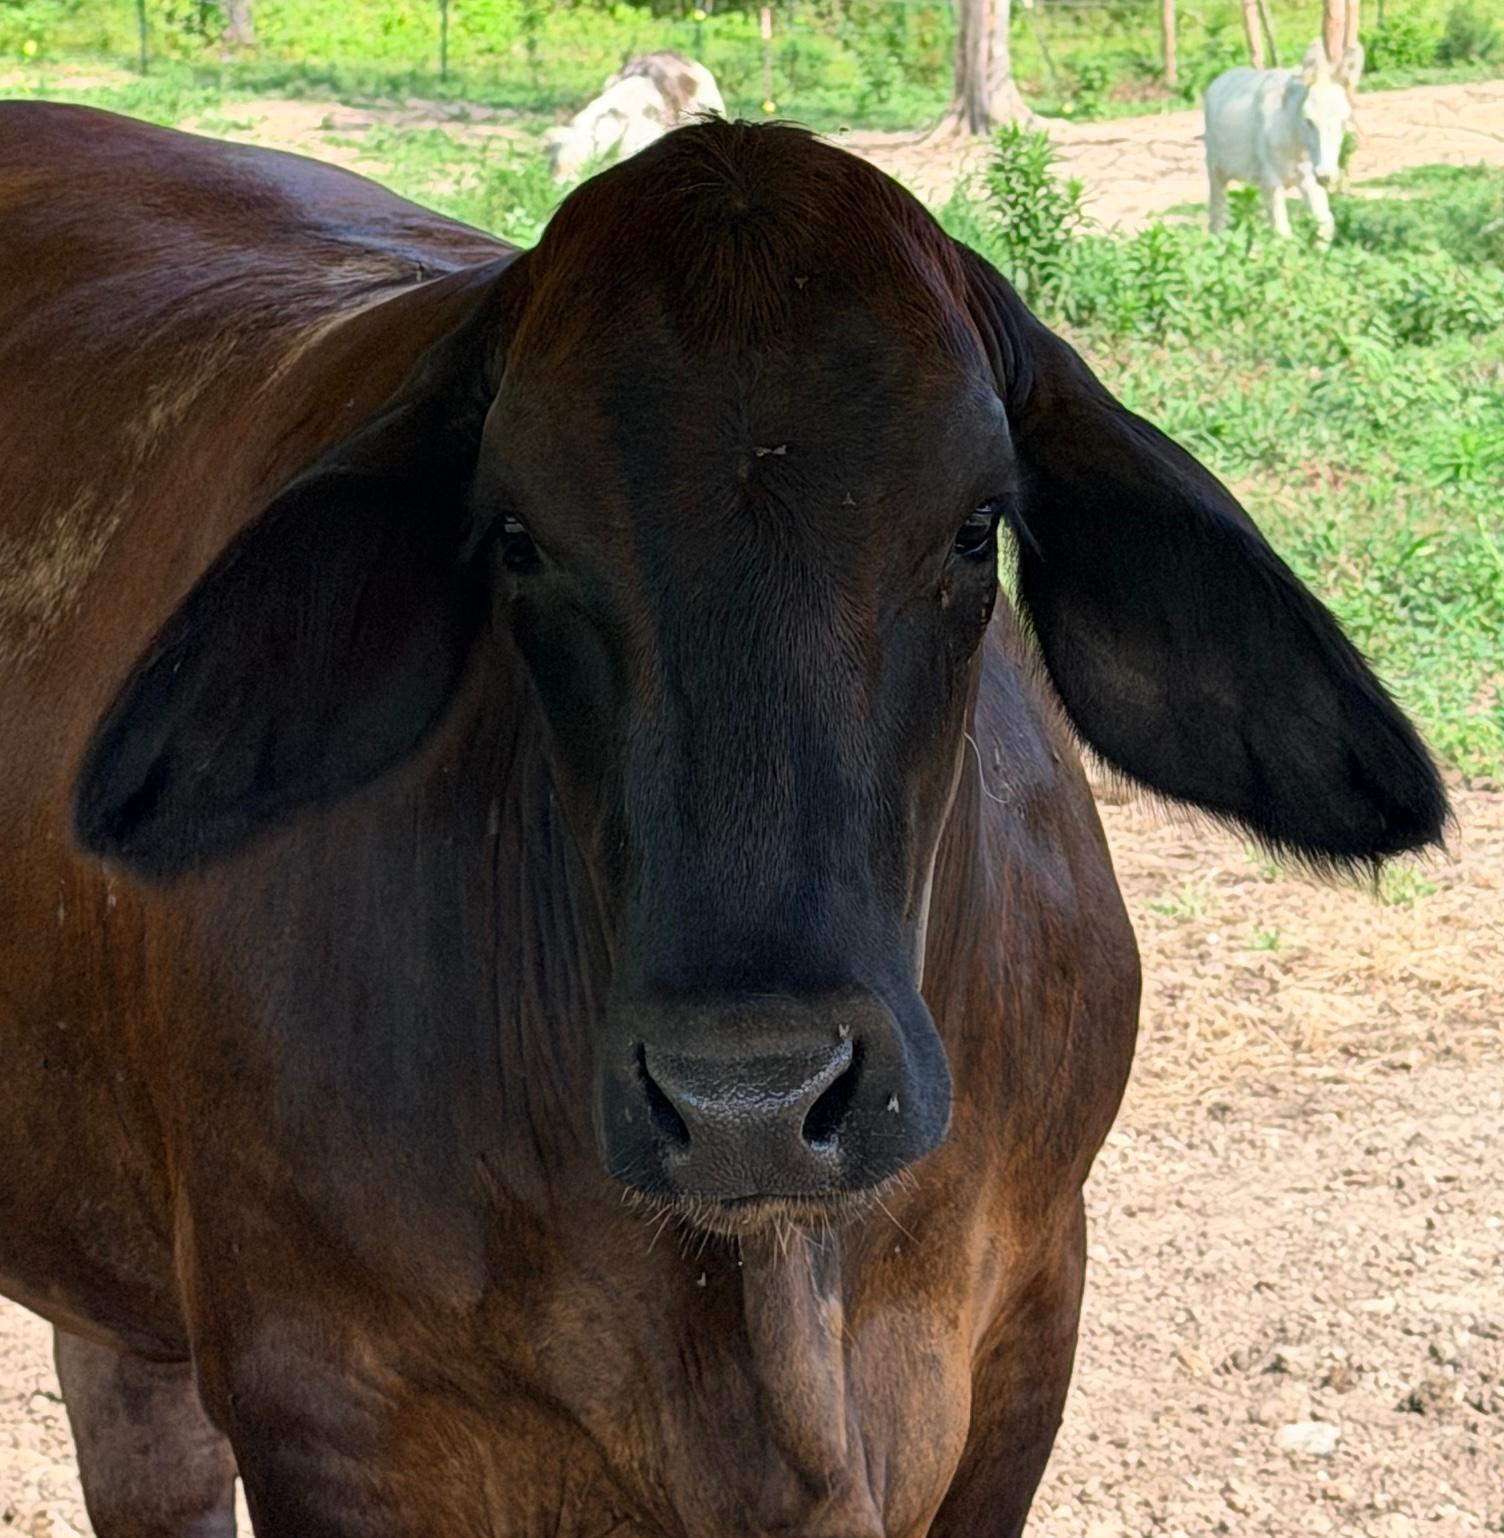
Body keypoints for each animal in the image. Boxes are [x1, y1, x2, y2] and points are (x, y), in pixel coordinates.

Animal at [1204, 41, 1365, 242]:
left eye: (1343, 122)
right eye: (1308, 120)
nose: (1325, 175)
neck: (1294, 138)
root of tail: (1221, 78)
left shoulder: (1308, 179)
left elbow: (1325, 223)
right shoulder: (1271, 179)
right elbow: (1282, 233)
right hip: (1216, 170)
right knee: (1217, 217)